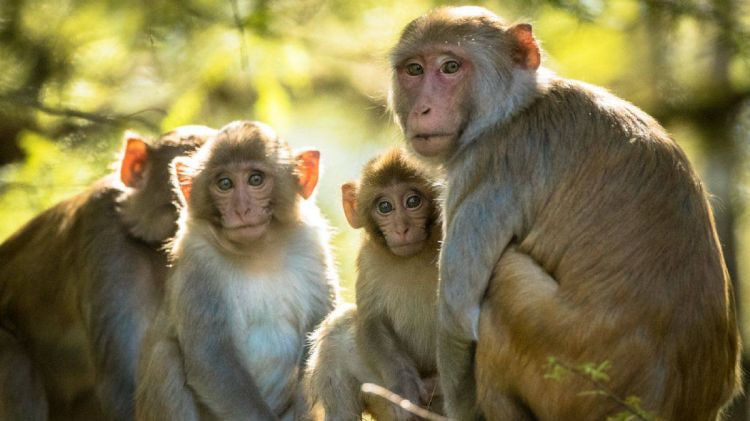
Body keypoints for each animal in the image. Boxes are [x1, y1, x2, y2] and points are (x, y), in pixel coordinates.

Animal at [137, 119, 340, 420]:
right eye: (225, 184)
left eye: (255, 179)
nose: (242, 209)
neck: (257, 253)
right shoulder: (197, 261)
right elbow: (211, 357)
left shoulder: (312, 249)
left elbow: (318, 340)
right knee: (166, 357)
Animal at [306, 148, 446, 420]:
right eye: (385, 207)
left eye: (413, 202)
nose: (401, 229)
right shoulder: (369, 258)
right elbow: (372, 320)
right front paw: (405, 390)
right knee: (338, 329)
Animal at [390, 6, 744, 420]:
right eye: (414, 70)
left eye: (450, 67)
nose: (423, 109)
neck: (517, 109)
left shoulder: (490, 162)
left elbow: (458, 320)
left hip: (568, 378)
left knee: (503, 279)